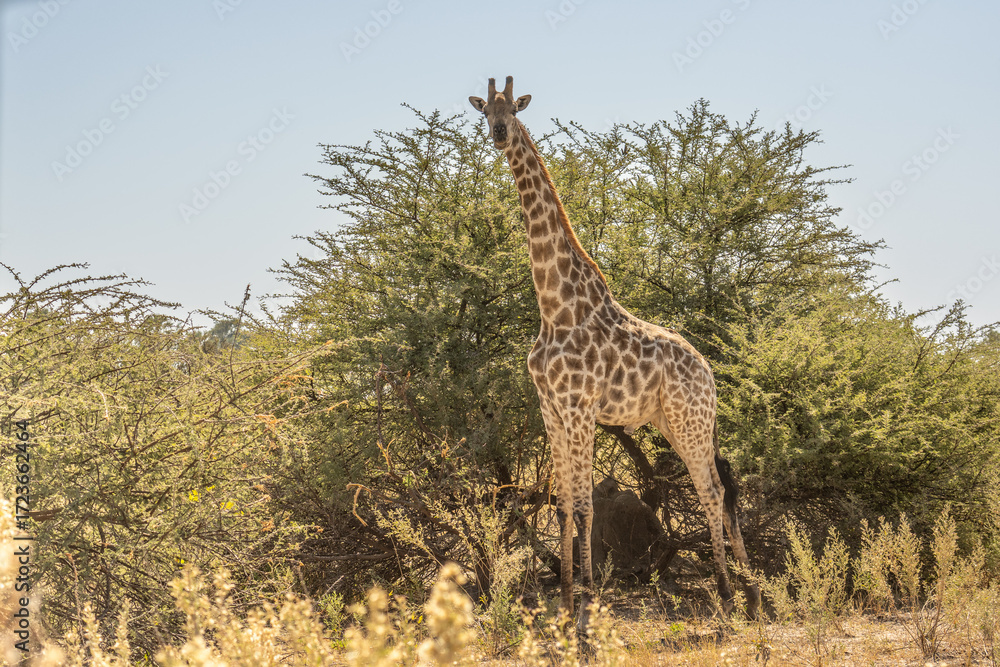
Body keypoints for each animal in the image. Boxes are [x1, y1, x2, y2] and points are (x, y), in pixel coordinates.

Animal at [470, 77, 761, 627]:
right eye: (482, 112)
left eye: (513, 110)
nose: (498, 135)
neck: (555, 306)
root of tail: (709, 372)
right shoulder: (551, 409)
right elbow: (563, 504)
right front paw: (564, 604)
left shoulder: (580, 407)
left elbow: (585, 506)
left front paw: (586, 603)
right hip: (672, 422)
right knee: (719, 487)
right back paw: (752, 593)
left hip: (690, 420)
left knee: (712, 490)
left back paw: (729, 593)